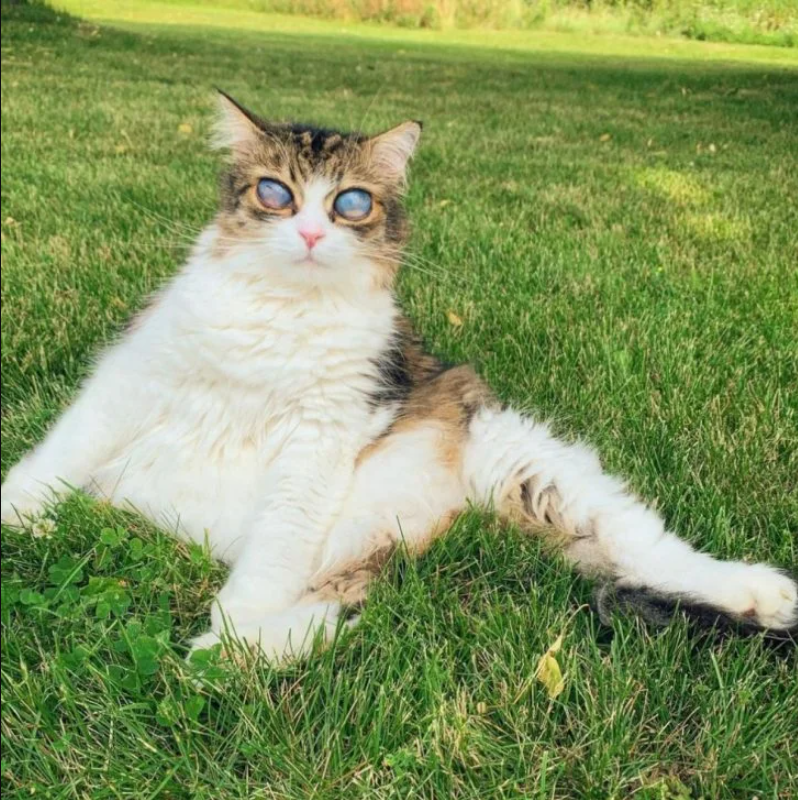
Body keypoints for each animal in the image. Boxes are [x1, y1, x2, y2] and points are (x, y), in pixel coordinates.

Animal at [3, 90, 796, 660]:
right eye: (274, 193)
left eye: (350, 202)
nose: (311, 233)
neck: (285, 315)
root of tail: (439, 527)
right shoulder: (132, 377)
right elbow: (57, 456)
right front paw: (17, 513)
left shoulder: (320, 435)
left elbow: (272, 552)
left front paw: (225, 634)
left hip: (527, 462)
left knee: (655, 549)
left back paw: (765, 593)